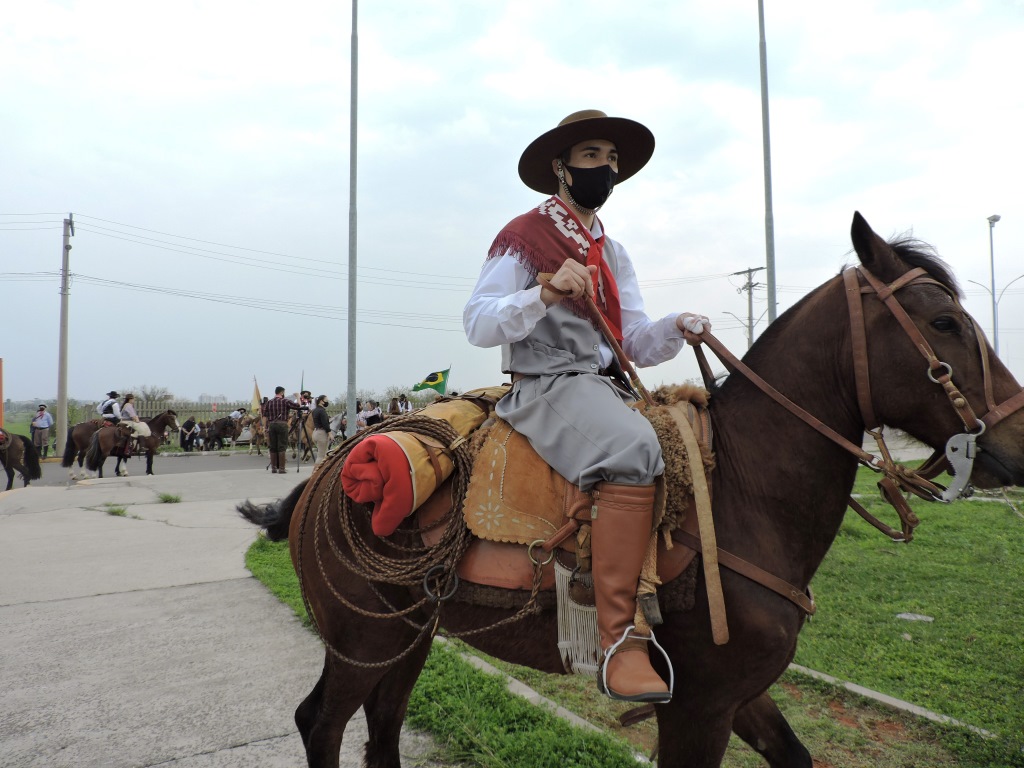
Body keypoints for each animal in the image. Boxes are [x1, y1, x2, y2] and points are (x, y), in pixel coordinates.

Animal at [235, 214, 1024, 768]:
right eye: (945, 322)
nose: (1015, 442)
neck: (745, 493)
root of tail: (331, 470)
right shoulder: (697, 706)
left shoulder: (739, 693)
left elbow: (796, 754)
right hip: (363, 638)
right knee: (322, 724)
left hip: (410, 636)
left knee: (384, 726)